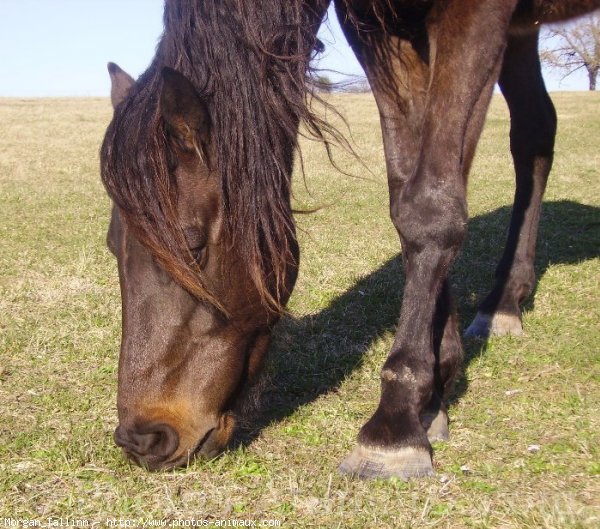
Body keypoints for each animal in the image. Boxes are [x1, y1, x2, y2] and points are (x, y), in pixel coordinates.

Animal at [101, 0, 596, 474]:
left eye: (194, 245)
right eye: (111, 245)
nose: (143, 439)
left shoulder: (475, 16)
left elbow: (432, 203)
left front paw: (395, 423)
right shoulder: (381, 33)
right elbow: (407, 192)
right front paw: (435, 390)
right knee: (534, 132)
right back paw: (505, 301)